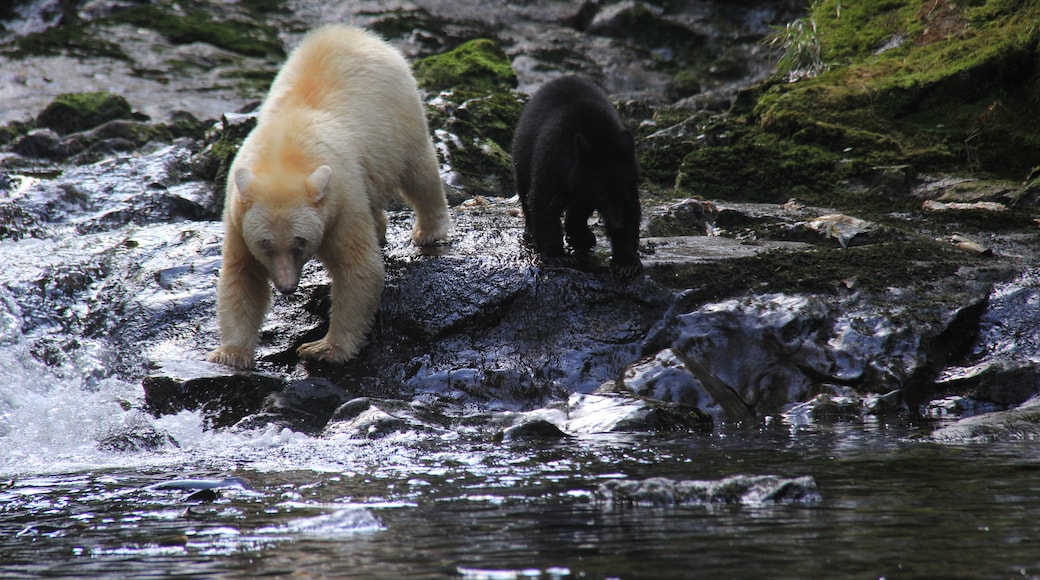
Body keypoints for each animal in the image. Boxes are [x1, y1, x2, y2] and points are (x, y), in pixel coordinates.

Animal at [208, 24, 451, 370]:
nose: (287, 287)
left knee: (420, 171)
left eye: (299, 242)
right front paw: (230, 353)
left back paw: (429, 231)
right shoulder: (237, 213)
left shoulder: (341, 198)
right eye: (265, 244)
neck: (283, 153)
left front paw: (323, 347)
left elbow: (358, 268)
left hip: (400, 114)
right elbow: (242, 275)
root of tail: (351, 32)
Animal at [511, 73, 640, 278]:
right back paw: (531, 231)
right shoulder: (552, 158)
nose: (617, 224)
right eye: (602, 196)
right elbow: (543, 202)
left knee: (580, 207)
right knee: (525, 192)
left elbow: (632, 209)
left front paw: (626, 262)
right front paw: (557, 256)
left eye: (623, 194)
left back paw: (581, 235)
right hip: (522, 157)